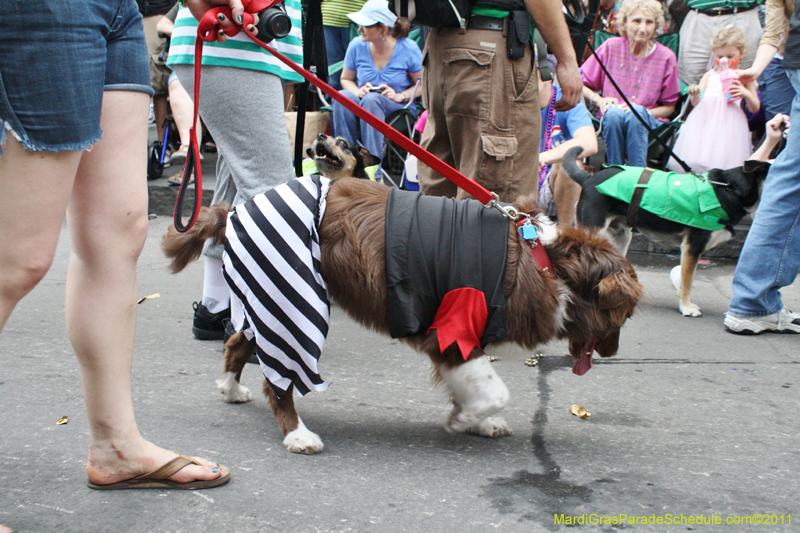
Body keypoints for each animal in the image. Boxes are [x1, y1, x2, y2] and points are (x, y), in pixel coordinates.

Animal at [164, 178, 644, 454]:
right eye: (624, 316)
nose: (613, 352)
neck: (547, 263)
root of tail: (234, 212)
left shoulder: (464, 336)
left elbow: (479, 386)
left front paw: (477, 420)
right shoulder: (451, 329)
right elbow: (494, 390)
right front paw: (466, 419)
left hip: (268, 297)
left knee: (237, 342)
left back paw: (230, 389)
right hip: (294, 301)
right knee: (278, 378)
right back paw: (297, 434)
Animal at [560, 145, 772, 316]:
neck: (730, 189)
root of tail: (589, 178)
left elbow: (686, 279)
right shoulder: (692, 247)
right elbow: (687, 282)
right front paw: (686, 307)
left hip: (622, 236)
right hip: (594, 231)